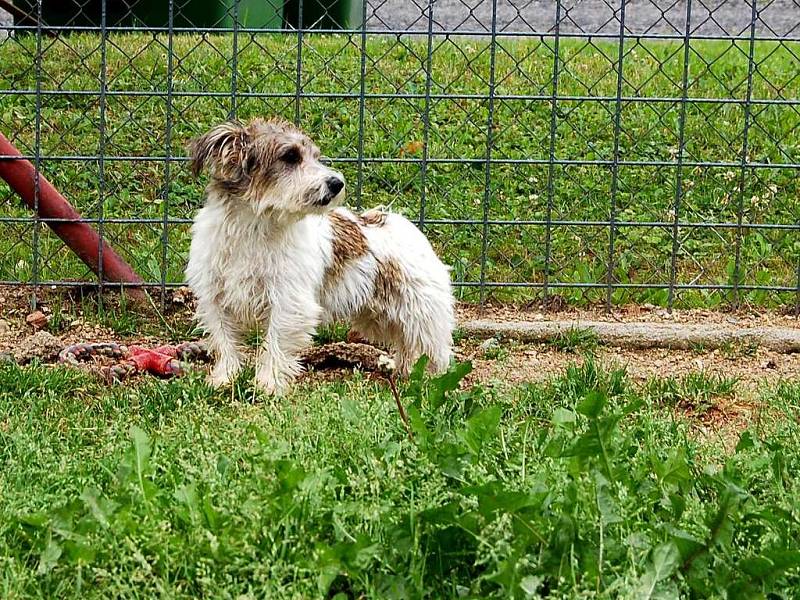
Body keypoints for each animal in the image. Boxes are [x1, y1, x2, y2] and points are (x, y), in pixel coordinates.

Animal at [184, 119, 454, 396]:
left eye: (315, 156)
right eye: (291, 157)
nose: (337, 183)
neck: (253, 228)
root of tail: (399, 223)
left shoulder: (288, 302)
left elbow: (275, 342)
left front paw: (268, 384)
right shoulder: (215, 300)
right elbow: (224, 341)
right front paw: (226, 378)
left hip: (420, 312)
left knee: (433, 347)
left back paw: (430, 378)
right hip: (379, 317)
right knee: (408, 345)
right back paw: (406, 371)